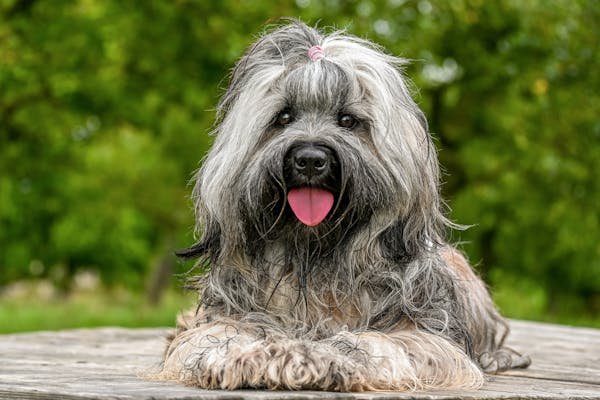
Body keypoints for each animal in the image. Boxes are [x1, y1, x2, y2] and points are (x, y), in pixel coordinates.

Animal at [156, 21, 528, 390]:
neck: (315, 256)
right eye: (283, 117)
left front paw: (314, 357)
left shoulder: (429, 336)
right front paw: (250, 355)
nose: (309, 160)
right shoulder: (226, 316)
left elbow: (376, 343)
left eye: (347, 120)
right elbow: (214, 335)